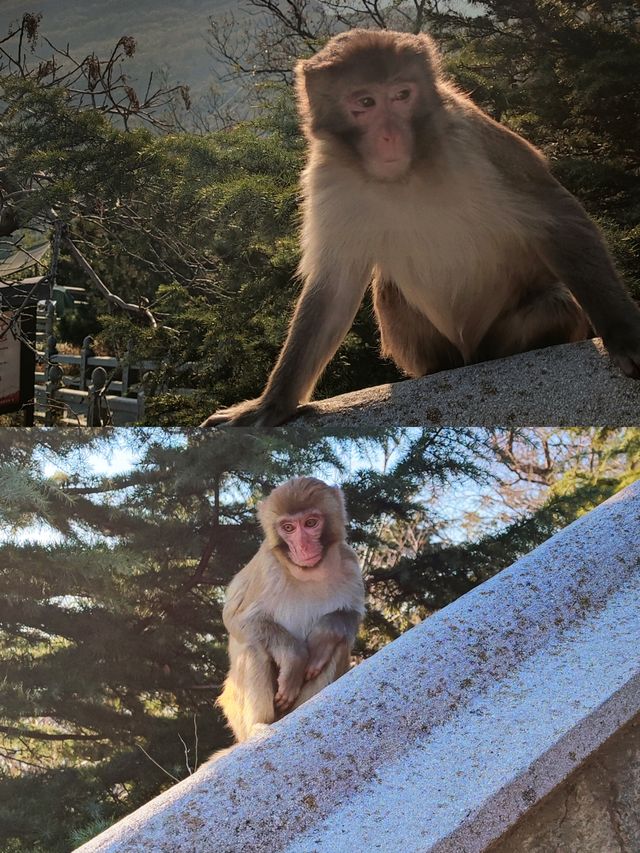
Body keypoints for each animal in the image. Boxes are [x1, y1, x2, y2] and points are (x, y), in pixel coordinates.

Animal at [202, 28, 640, 426]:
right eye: (365, 102)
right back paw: (438, 369)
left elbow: (557, 218)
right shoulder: (326, 177)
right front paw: (272, 405)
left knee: (554, 302)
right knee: (390, 290)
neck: (405, 175)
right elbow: (333, 287)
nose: (390, 136)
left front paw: (624, 333)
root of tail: (468, 356)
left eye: (402, 95)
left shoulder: (471, 137)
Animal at [216, 476, 362, 744]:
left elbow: (350, 616)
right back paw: (259, 726)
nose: (302, 547)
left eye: (311, 523)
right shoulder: (267, 568)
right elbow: (235, 619)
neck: (309, 573)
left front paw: (323, 635)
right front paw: (294, 658)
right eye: (288, 528)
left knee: (339, 644)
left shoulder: (350, 563)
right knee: (254, 646)